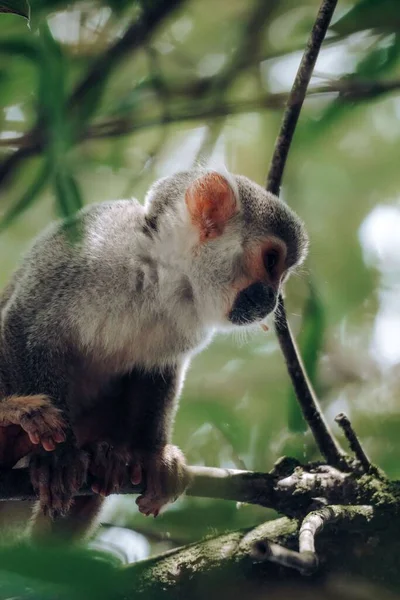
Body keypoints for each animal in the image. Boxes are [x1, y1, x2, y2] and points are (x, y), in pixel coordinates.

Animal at [0, 169, 308, 540]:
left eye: (283, 273)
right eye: (271, 260)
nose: (272, 299)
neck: (164, 275)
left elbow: (157, 370)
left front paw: (152, 454)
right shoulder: (88, 246)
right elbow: (24, 321)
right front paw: (58, 456)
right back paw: (13, 427)